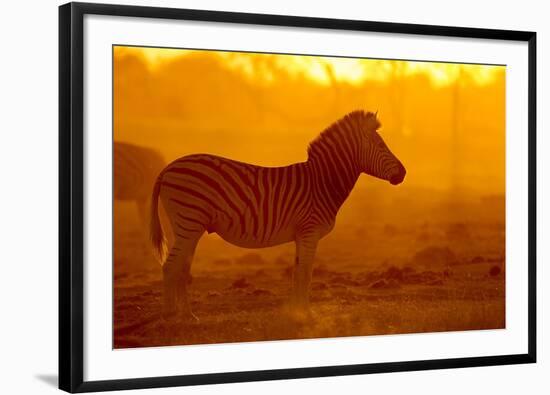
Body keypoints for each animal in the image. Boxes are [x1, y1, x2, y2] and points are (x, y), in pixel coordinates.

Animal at [150, 110, 406, 318]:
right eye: (381, 145)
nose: (403, 173)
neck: (321, 182)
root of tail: (167, 168)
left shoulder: (301, 234)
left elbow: (297, 271)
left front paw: (295, 311)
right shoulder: (310, 231)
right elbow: (306, 273)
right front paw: (306, 314)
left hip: (189, 227)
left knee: (182, 267)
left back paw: (188, 315)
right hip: (189, 222)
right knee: (170, 266)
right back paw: (170, 315)